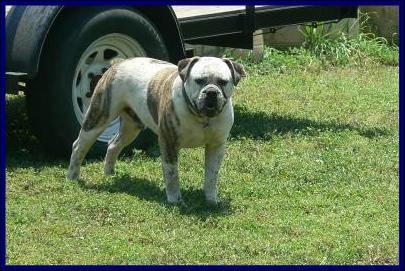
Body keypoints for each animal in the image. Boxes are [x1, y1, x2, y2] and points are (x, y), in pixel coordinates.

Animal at [66, 56, 245, 205]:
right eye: (199, 80)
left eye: (223, 82)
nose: (211, 92)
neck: (201, 116)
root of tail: (119, 62)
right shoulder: (169, 143)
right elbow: (172, 174)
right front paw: (175, 200)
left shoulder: (216, 146)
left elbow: (212, 175)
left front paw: (211, 199)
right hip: (98, 117)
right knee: (79, 146)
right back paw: (72, 177)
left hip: (131, 127)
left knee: (113, 144)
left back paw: (109, 172)